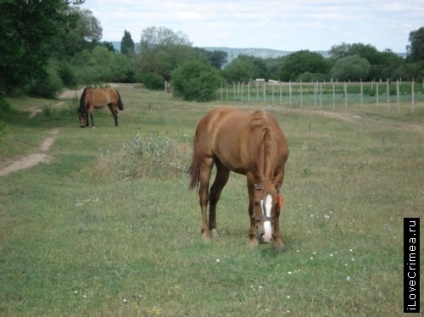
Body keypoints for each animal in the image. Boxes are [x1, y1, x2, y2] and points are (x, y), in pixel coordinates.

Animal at [189, 107, 288, 249]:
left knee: (214, 194)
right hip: (206, 161)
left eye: (274, 203)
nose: (265, 236)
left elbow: (278, 210)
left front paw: (278, 241)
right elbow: (250, 208)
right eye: (257, 203)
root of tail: (208, 117)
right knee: (204, 196)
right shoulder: (251, 175)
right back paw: (205, 233)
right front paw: (252, 240)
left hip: (223, 167)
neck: (264, 136)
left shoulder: (280, 173)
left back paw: (213, 231)